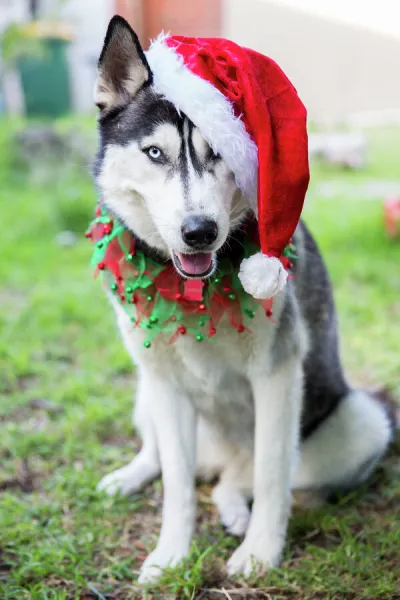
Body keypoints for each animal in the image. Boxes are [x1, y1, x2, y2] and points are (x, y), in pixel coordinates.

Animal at [94, 17, 396, 580]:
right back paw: (133, 475)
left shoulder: (277, 374)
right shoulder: (165, 384)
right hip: (146, 389)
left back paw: (235, 507)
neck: (195, 288)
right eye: (154, 153)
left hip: (362, 422)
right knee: (169, 459)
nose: (199, 232)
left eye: (218, 151)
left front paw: (260, 553)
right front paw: (171, 556)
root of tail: (219, 457)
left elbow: (273, 476)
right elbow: (177, 486)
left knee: (247, 476)